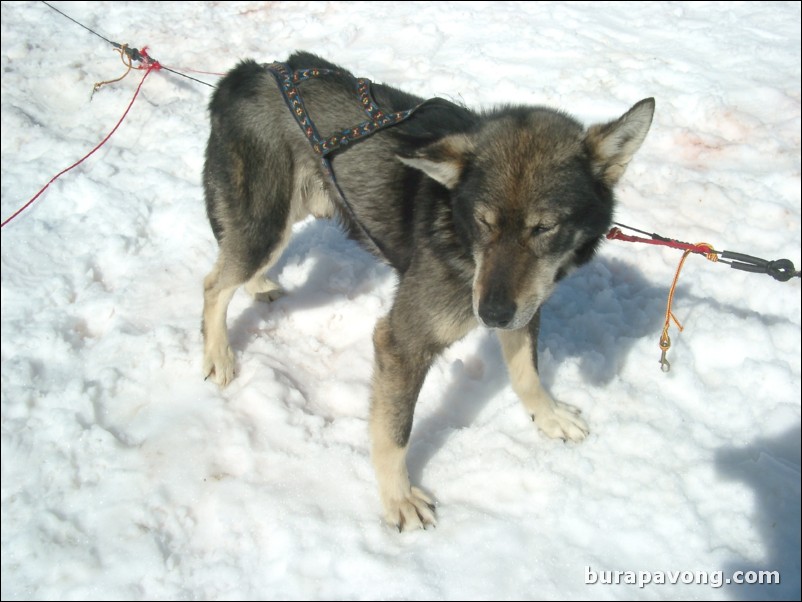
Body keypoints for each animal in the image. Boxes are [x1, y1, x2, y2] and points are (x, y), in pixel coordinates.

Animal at [198, 52, 648, 528]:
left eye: (544, 228)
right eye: (484, 222)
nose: (490, 315)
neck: (458, 233)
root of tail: (248, 72)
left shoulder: (522, 307)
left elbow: (527, 372)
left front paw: (547, 415)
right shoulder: (402, 342)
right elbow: (395, 431)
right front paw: (397, 498)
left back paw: (259, 286)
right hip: (265, 225)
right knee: (214, 284)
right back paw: (218, 354)